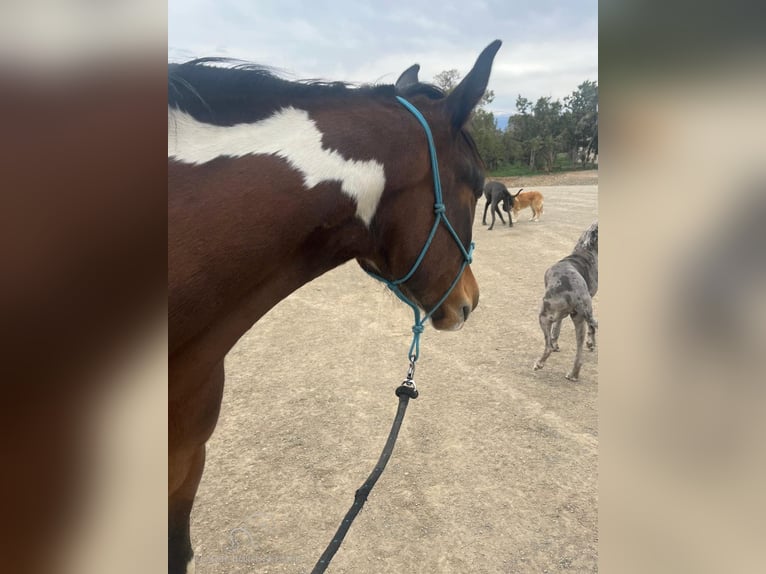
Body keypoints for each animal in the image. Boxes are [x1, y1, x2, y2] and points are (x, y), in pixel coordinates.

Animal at [536, 223, 600, 380]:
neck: (586, 251)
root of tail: (577, 293)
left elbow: (556, 328)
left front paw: (555, 343)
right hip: (580, 320)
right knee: (579, 356)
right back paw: (573, 374)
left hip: (543, 316)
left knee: (548, 347)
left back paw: (539, 363)